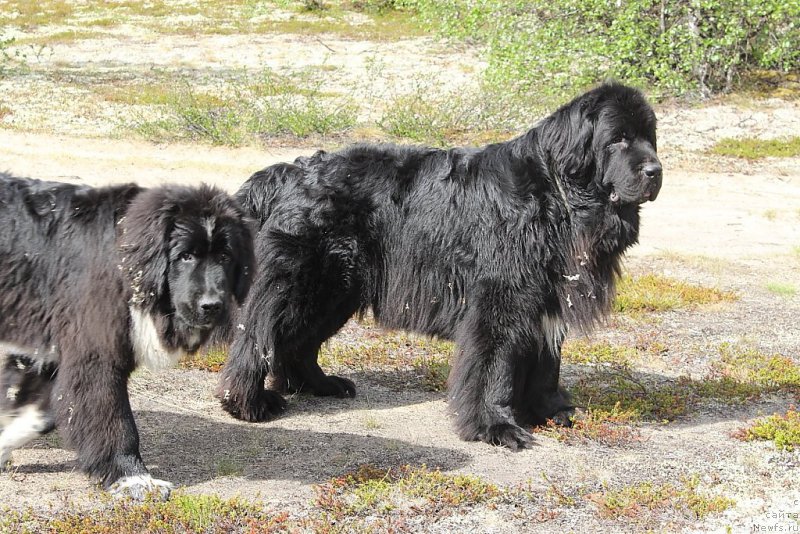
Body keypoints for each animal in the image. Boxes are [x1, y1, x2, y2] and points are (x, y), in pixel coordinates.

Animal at [0, 177, 255, 502]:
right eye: (185, 256)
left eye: (225, 257)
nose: (212, 305)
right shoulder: (96, 357)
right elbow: (116, 422)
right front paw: (135, 479)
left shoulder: (47, 347)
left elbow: (39, 413)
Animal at [216, 82, 660, 452]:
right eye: (618, 139)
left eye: (649, 138)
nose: (655, 171)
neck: (557, 194)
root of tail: (290, 171)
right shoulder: (499, 300)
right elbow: (492, 369)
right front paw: (495, 426)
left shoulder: (546, 300)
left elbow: (547, 364)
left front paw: (552, 411)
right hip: (301, 281)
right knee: (258, 336)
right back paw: (249, 403)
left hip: (336, 290)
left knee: (298, 342)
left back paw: (320, 385)